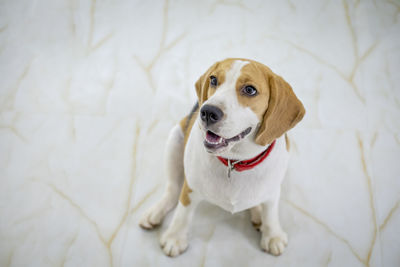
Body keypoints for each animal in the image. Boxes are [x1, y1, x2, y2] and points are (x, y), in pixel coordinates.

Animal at [139, 58, 304, 258]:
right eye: (213, 80)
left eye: (250, 90)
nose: (207, 112)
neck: (235, 162)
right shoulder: (190, 187)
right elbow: (182, 212)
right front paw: (175, 237)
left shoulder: (272, 191)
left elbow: (271, 212)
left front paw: (273, 235)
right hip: (175, 139)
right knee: (171, 191)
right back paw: (155, 213)